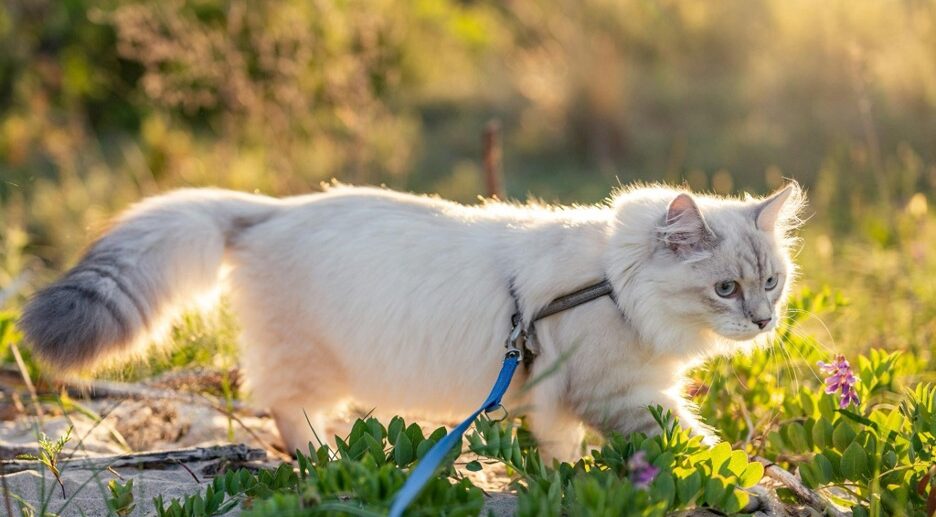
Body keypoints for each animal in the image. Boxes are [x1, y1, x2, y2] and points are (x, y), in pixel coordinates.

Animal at [16, 181, 804, 460]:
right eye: (725, 288)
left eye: (771, 282)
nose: (764, 321)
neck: (611, 283)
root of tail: (270, 208)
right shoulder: (623, 394)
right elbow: (700, 446)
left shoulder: (560, 400)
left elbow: (561, 455)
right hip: (309, 360)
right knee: (284, 408)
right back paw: (321, 460)